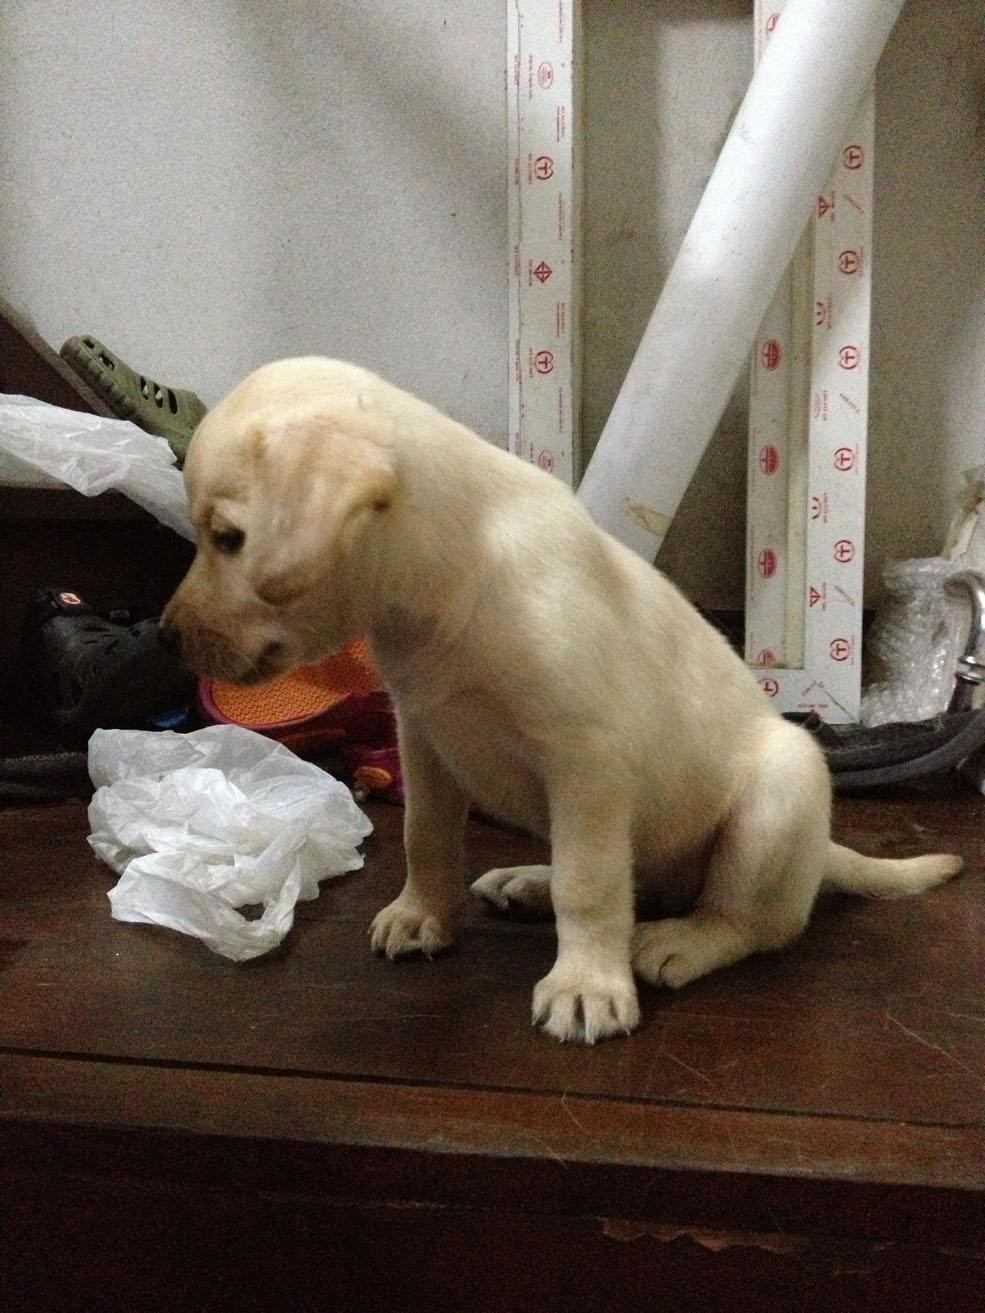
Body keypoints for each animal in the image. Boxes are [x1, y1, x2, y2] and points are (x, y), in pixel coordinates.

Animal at [162, 358, 963, 1043]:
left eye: (227, 537)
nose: (167, 635)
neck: (448, 581)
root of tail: (821, 855)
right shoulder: (424, 738)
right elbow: (425, 837)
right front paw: (422, 914)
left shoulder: (586, 765)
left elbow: (590, 884)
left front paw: (586, 984)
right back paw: (527, 882)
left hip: (779, 791)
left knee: (747, 921)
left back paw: (679, 939)